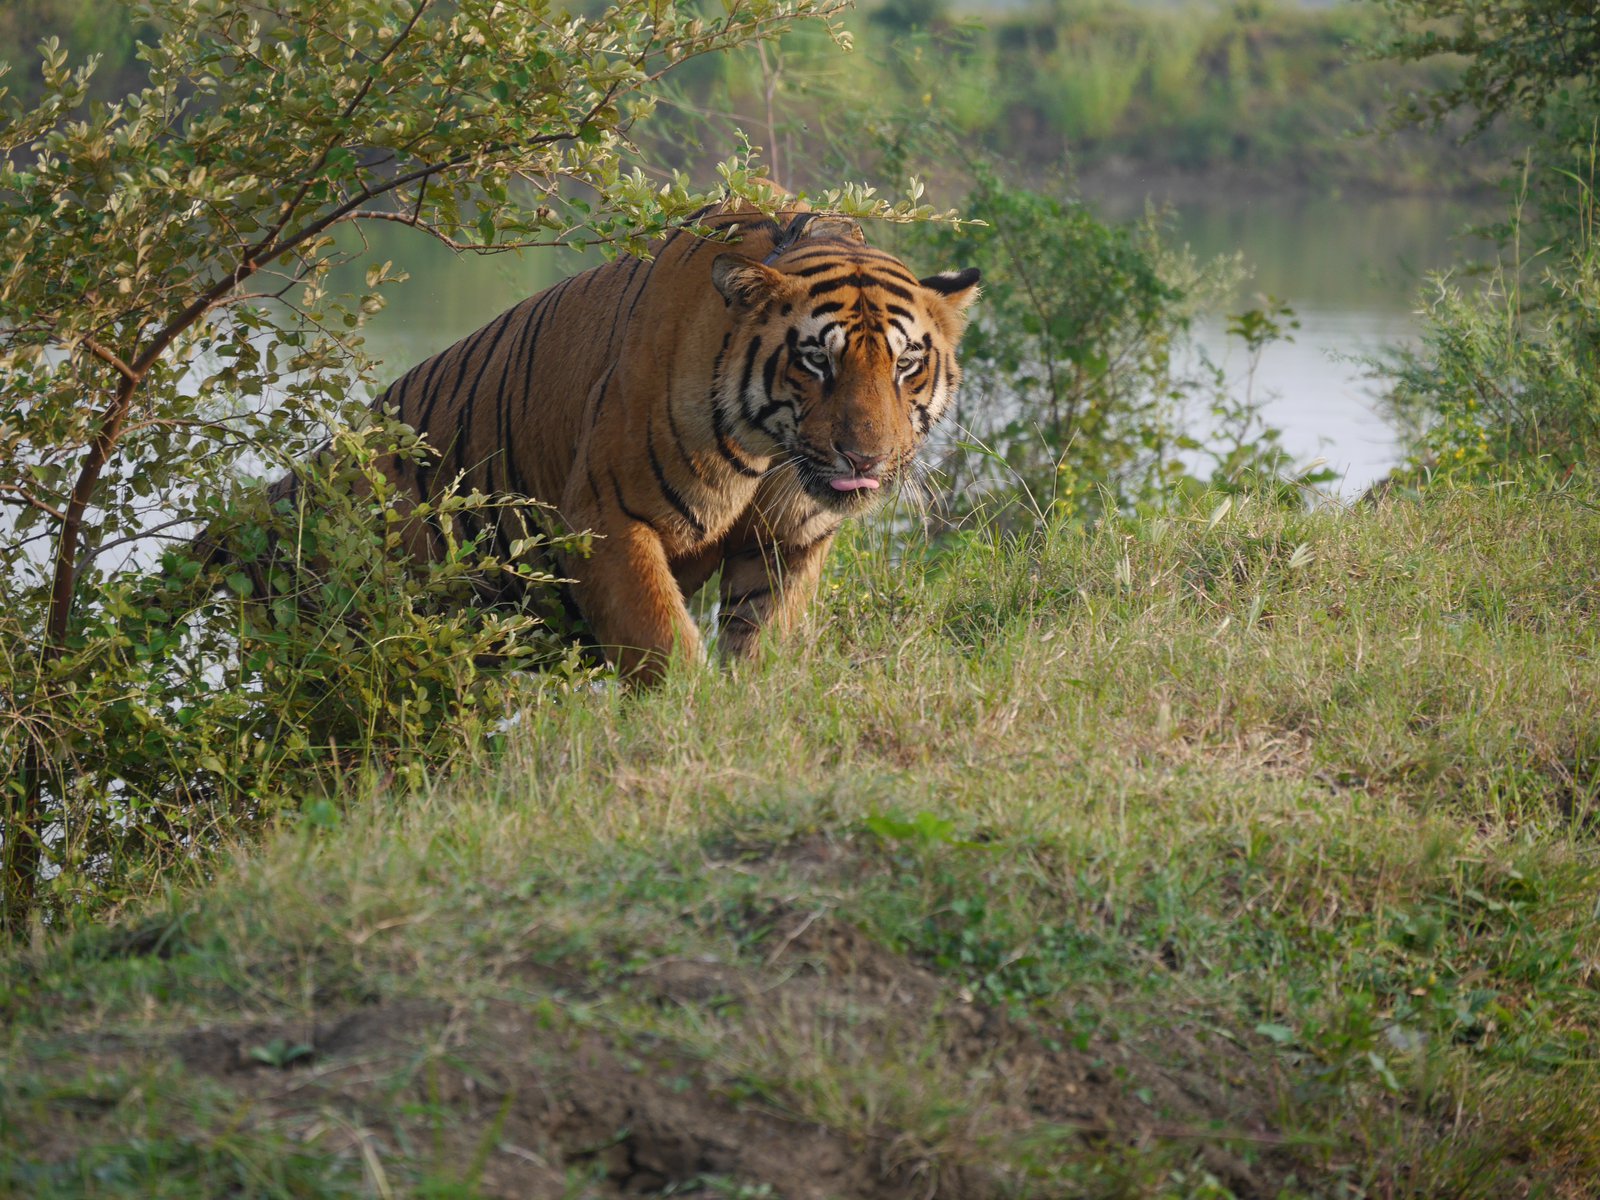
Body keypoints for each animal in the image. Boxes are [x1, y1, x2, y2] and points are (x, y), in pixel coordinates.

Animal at [368, 202, 979, 681]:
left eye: (906, 364)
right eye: (816, 361)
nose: (865, 458)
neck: (770, 450)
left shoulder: (785, 543)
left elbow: (760, 640)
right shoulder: (609, 517)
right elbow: (663, 641)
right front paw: (689, 714)